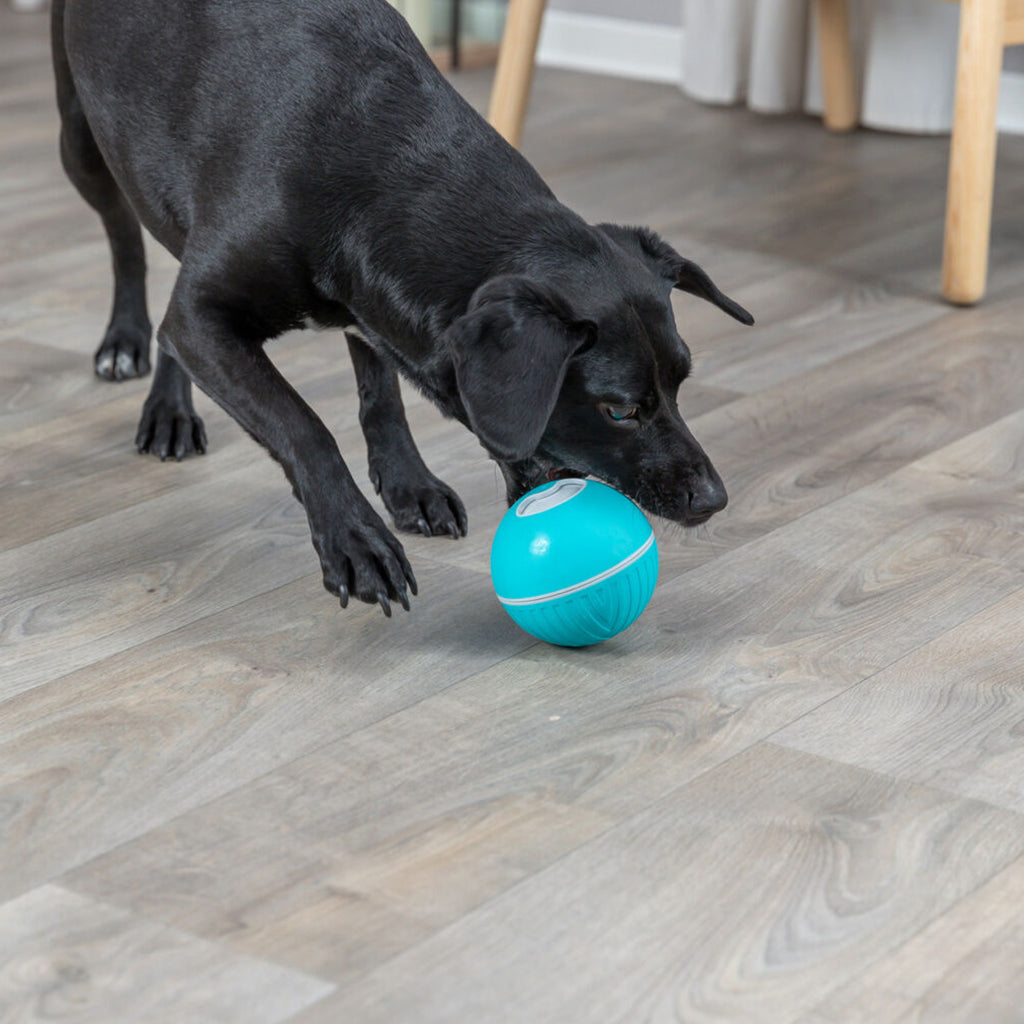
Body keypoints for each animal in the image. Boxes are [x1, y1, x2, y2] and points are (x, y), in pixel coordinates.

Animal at [49, 0, 753, 614]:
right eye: (619, 410)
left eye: (681, 382)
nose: (715, 499)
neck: (389, 163)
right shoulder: (204, 319)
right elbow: (302, 423)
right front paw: (356, 540)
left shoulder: (370, 306)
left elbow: (380, 392)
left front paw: (410, 485)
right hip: (83, 142)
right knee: (128, 241)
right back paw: (136, 358)